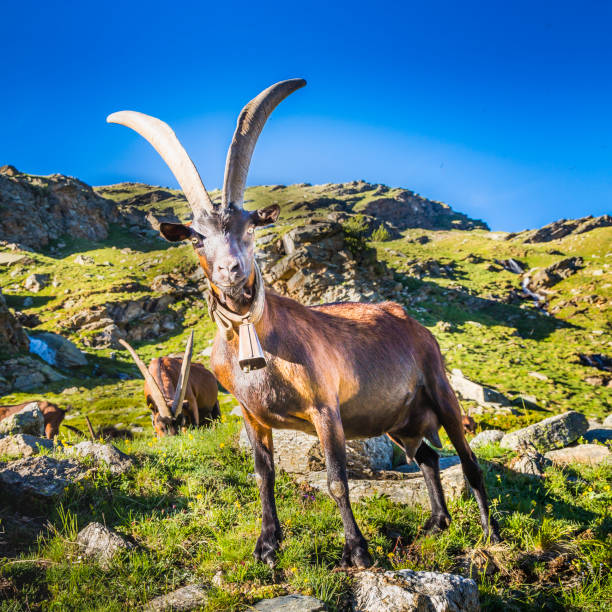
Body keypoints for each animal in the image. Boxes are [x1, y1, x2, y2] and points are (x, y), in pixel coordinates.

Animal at [109, 79, 502, 568]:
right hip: (398, 417)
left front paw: (357, 551)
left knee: (468, 461)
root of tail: (411, 322)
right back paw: (435, 524)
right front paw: (266, 546)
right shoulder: (251, 416)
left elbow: (336, 480)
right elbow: (264, 476)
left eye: (250, 226)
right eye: (197, 238)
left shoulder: (325, 409)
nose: (231, 272)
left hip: (439, 390)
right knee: (428, 456)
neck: (261, 344)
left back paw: (490, 533)